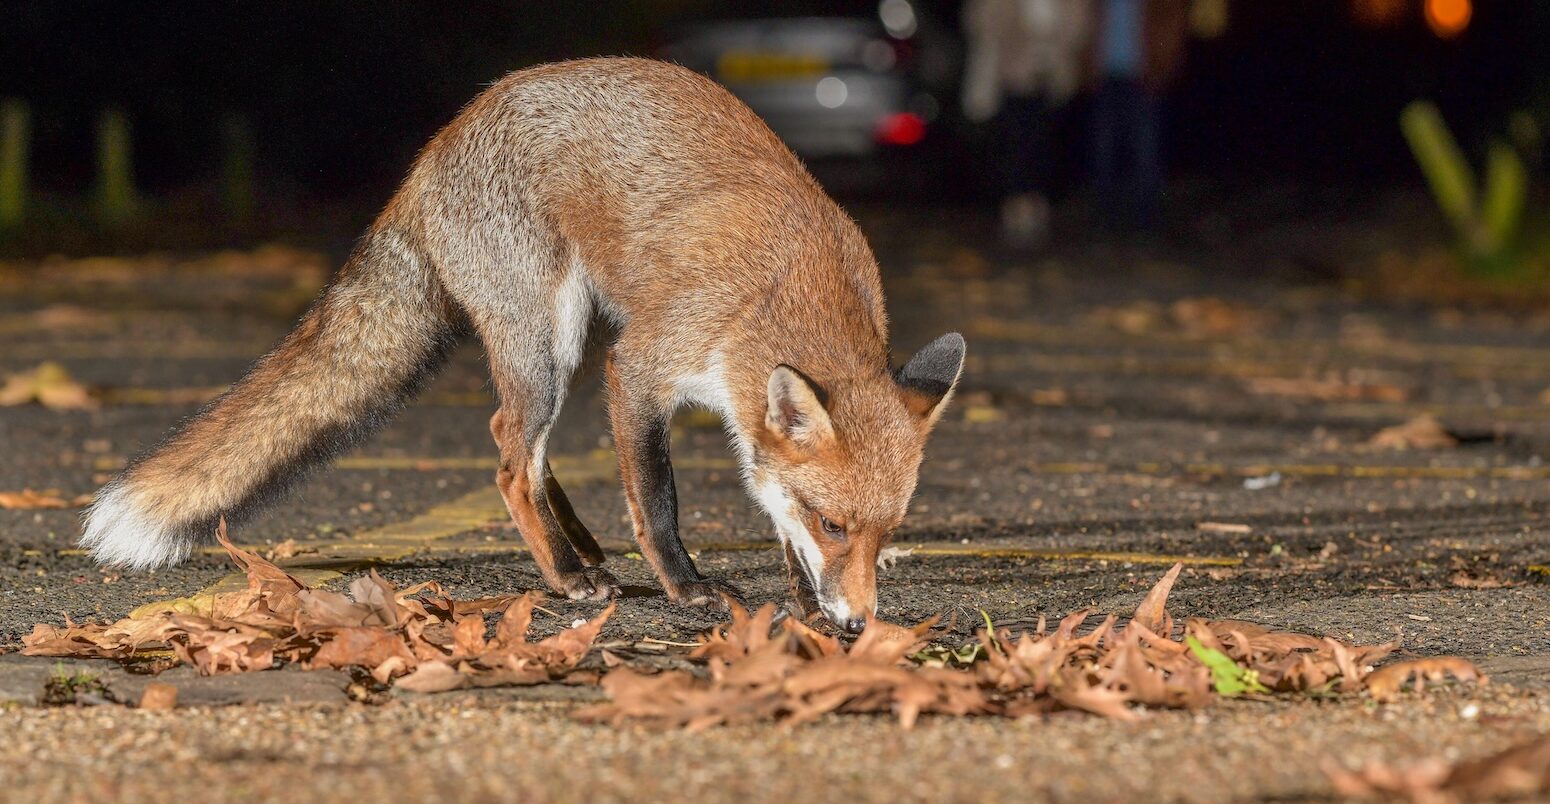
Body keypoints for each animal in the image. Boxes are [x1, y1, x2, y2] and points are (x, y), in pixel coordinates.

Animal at [81, 58, 967, 635]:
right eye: (834, 523)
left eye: (885, 533)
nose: (856, 627)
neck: (784, 291)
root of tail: (434, 149)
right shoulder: (640, 366)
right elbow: (658, 500)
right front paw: (686, 586)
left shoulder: (743, 410)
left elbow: (770, 502)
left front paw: (803, 595)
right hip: (550, 340)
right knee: (511, 451)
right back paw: (567, 576)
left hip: (556, 347)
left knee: (531, 456)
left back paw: (582, 555)